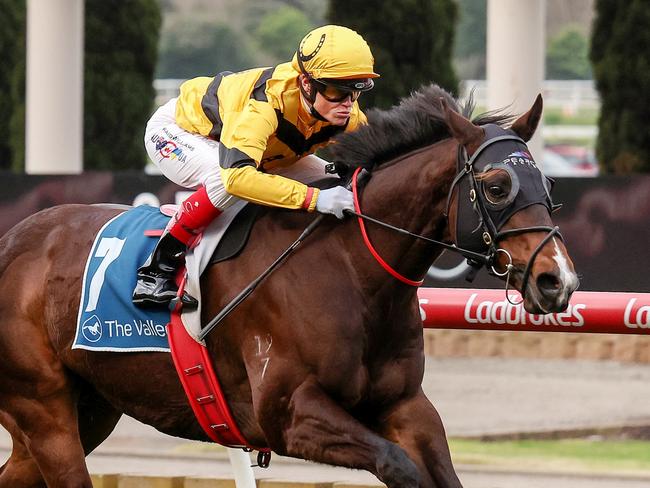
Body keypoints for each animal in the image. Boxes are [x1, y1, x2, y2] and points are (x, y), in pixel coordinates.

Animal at [0, 86, 576, 486]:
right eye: (497, 186)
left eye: (548, 184)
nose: (558, 280)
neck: (352, 270)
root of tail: (14, 240)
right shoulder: (288, 414)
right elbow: (399, 467)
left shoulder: (405, 405)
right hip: (45, 410)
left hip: (90, 408)